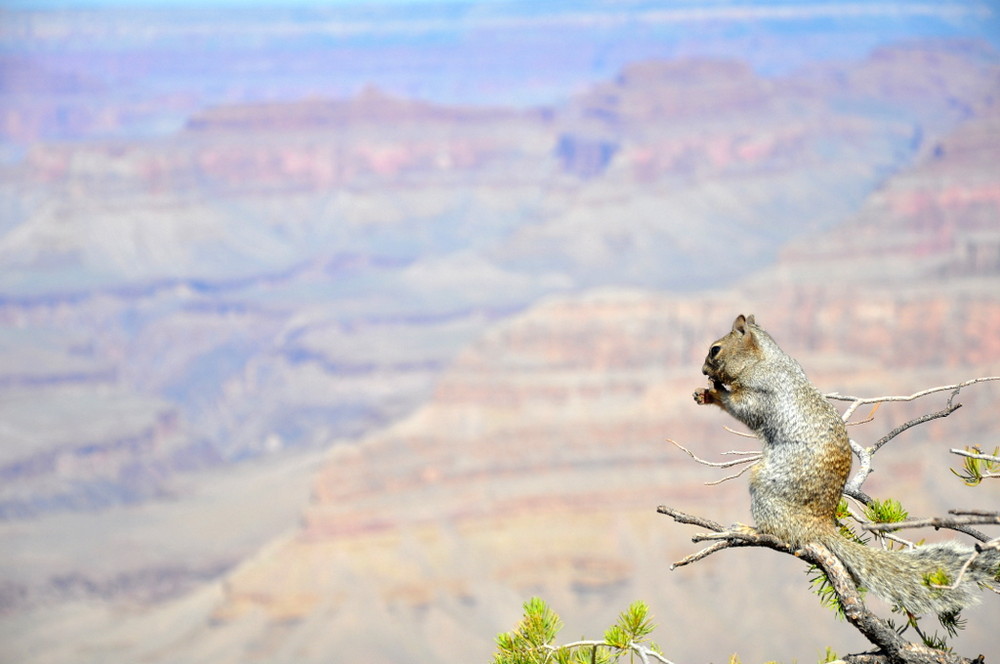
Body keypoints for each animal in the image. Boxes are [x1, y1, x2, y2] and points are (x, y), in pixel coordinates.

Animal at [692, 314, 996, 616]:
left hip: (766, 487)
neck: (762, 358)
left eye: (715, 349)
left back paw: (750, 530)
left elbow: (742, 408)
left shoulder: (760, 390)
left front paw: (714, 393)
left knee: (782, 533)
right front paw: (703, 393)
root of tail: (819, 526)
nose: (703, 370)